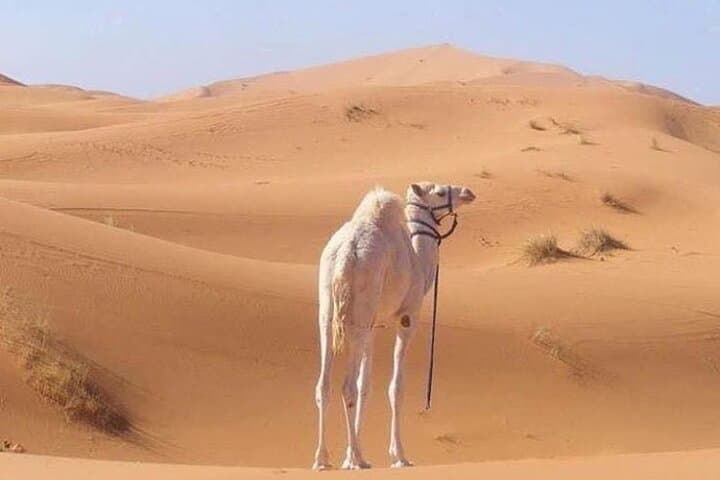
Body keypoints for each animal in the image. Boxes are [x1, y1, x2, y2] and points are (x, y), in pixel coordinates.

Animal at [313, 182, 476, 470]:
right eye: (440, 192)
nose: (468, 192)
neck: (418, 260)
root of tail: (345, 254)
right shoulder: (407, 317)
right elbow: (395, 388)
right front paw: (398, 455)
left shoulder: (374, 325)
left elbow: (366, 385)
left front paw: (352, 454)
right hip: (361, 308)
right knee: (347, 387)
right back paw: (355, 460)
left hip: (329, 308)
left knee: (324, 385)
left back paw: (324, 459)